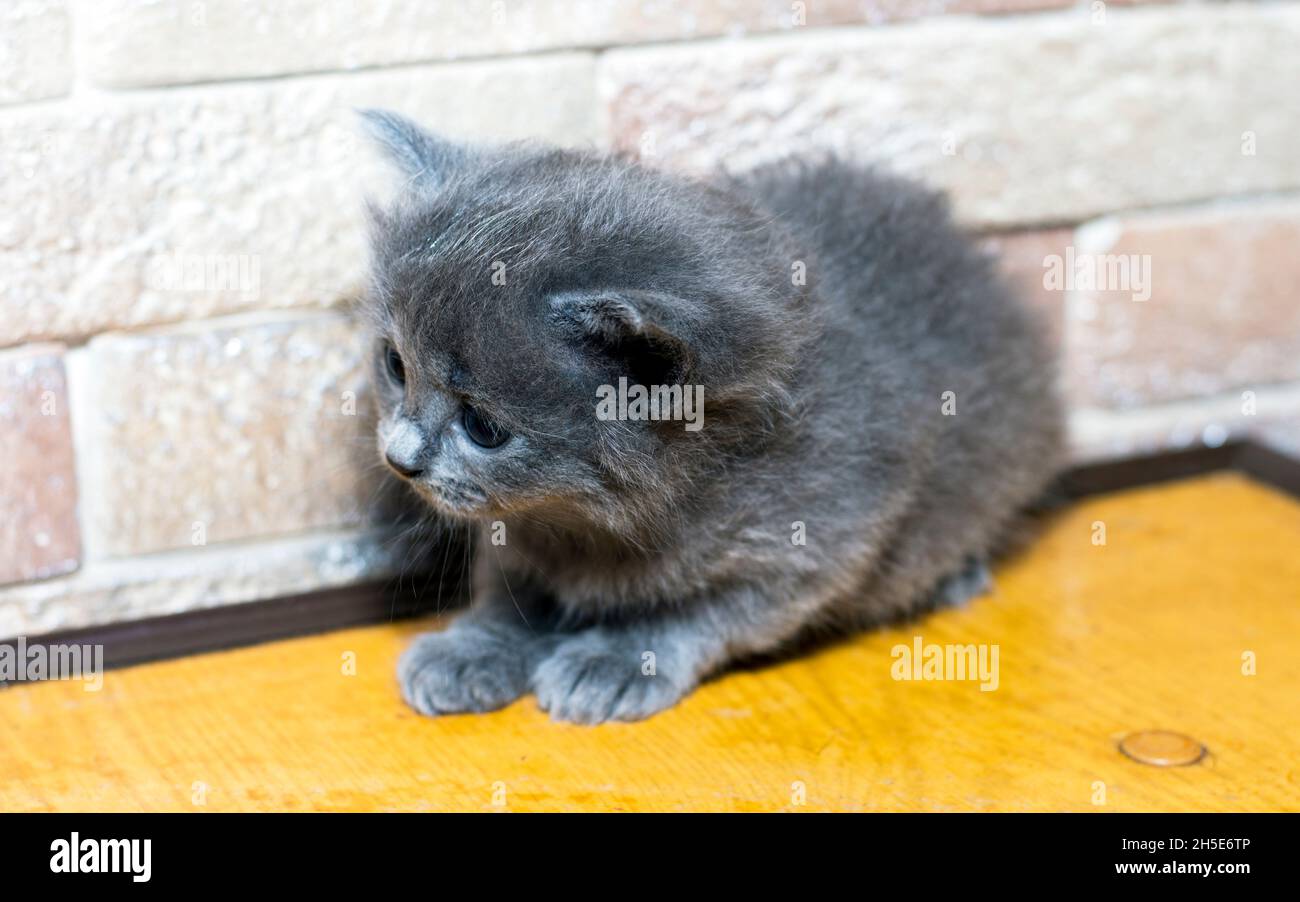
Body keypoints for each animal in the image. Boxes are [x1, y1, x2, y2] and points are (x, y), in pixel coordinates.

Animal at [361, 109, 1060, 722]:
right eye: (396, 365)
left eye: (483, 428)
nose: (400, 458)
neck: (595, 522)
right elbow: (511, 592)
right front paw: (472, 647)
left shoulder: (814, 544)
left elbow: (696, 616)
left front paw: (616, 661)